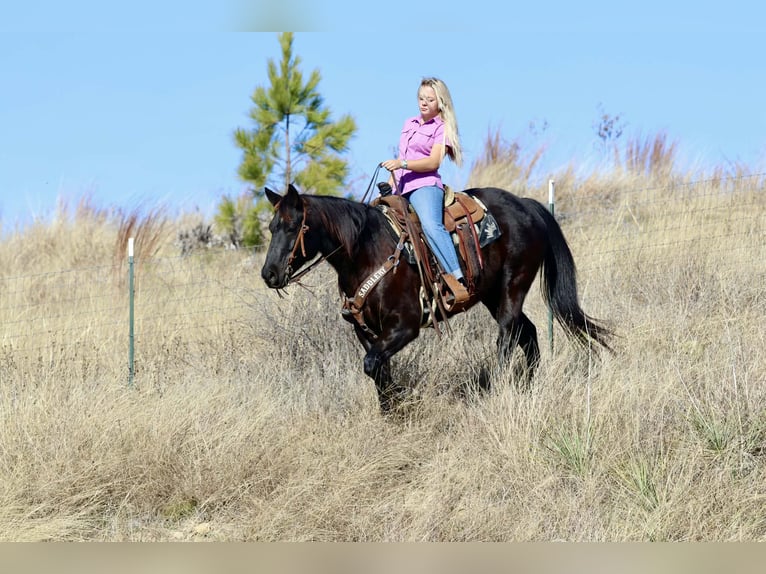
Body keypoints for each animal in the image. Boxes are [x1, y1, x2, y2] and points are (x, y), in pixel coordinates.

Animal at [261, 183, 611, 412]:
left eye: (294, 227)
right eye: (271, 227)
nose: (269, 274)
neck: (367, 252)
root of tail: (526, 205)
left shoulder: (405, 326)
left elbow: (373, 366)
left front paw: (402, 403)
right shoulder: (366, 331)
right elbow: (378, 370)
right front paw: (392, 413)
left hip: (513, 287)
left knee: (507, 337)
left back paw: (496, 386)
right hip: (492, 295)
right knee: (528, 333)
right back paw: (527, 387)